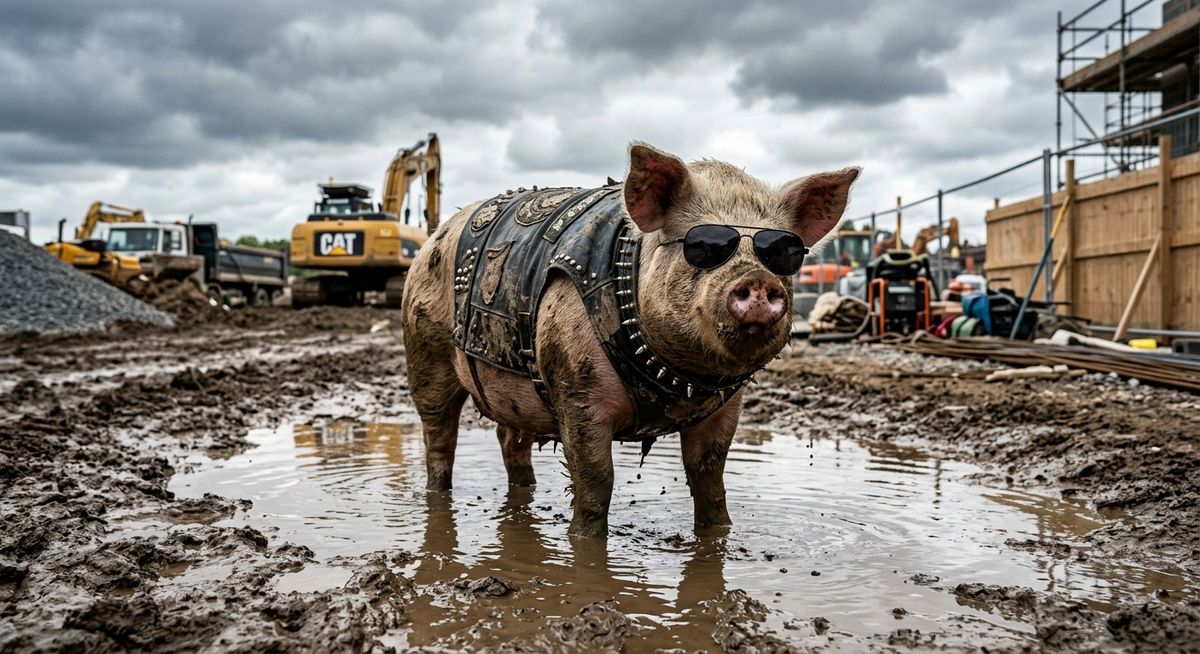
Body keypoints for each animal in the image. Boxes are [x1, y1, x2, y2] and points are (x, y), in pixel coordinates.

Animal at [402, 143, 859, 538]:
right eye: (704, 247)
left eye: (781, 253)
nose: (758, 279)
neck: (681, 377)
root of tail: (434, 236)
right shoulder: (574, 387)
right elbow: (596, 478)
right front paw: (584, 542)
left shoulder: (726, 406)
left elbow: (709, 476)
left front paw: (719, 534)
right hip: (425, 350)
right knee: (438, 437)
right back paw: (437, 492)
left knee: (510, 440)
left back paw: (524, 490)